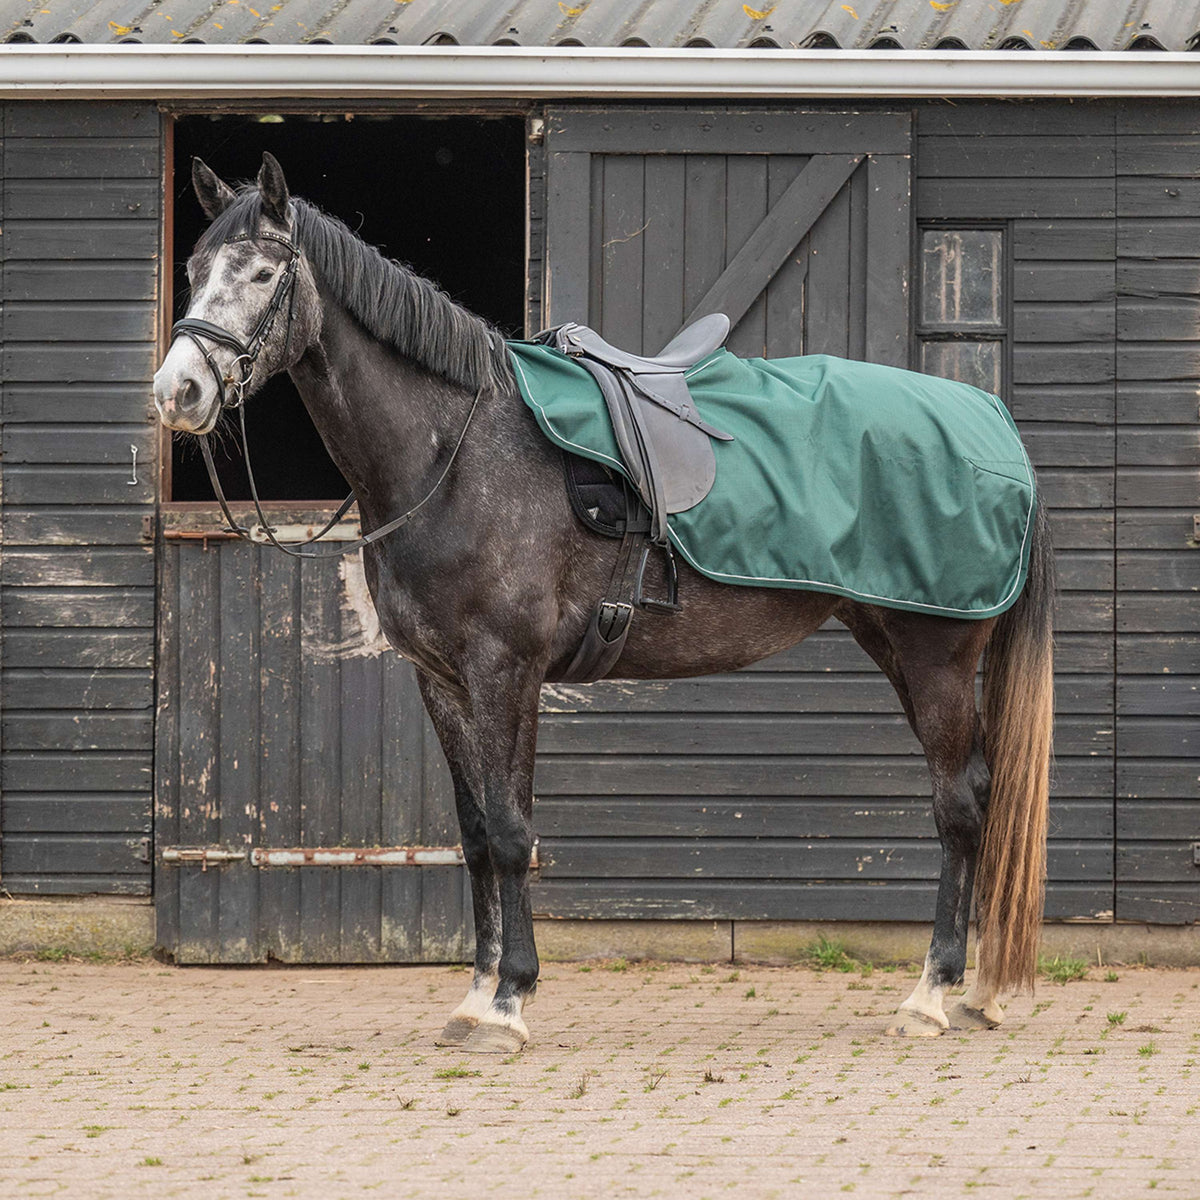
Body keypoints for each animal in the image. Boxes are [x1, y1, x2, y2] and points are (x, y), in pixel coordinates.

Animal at [153, 152, 1054, 1054]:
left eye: (263, 273)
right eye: (194, 271)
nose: (179, 392)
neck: (455, 455)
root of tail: (990, 423)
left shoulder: (505, 672)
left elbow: (512, 832)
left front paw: (510, 1002)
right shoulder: (441, 679)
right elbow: (475, 835)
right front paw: (474, 998)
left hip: (937, 656)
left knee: (959, 806)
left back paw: (932, 993)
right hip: (893, 640)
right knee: (977, 795)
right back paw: (975, 992)